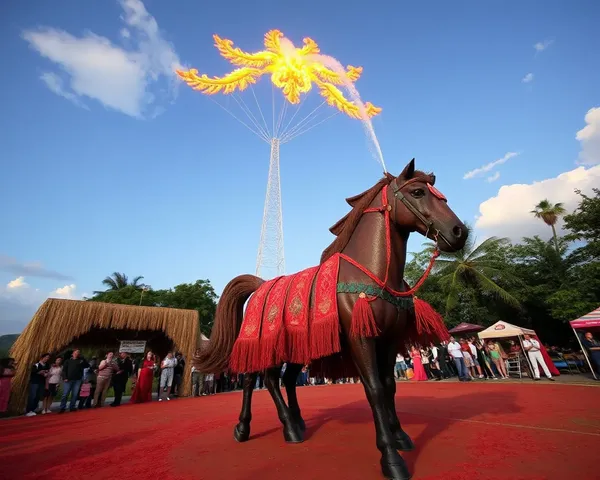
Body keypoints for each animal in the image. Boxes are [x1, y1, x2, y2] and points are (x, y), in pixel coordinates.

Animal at [195, 159, 466, 478]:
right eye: (417, 192)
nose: (459, 231)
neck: (372, 274)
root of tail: (261, 285)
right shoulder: (360, 338)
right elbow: (374, 389)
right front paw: (390, 457)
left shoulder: (389, 339)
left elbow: (389, 385)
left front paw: (400, 436)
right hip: (265, 345)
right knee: (259, 380)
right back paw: (264, 428)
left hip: (297, 348)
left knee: (282, 380)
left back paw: (290, 424)